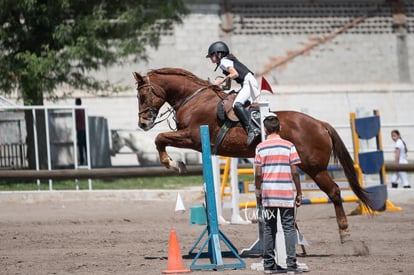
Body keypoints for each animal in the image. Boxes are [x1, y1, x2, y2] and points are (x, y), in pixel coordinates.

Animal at [133, 67, 372, 244]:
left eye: (142, 95)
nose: (143, 124)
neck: (193, 99)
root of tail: (320, 124)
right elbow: (161, 139)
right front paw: (176, 163)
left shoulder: (192, 137)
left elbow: (160, 138)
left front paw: (174, 164)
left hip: (316, 168)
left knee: (334, 192)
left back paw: (344, 233)